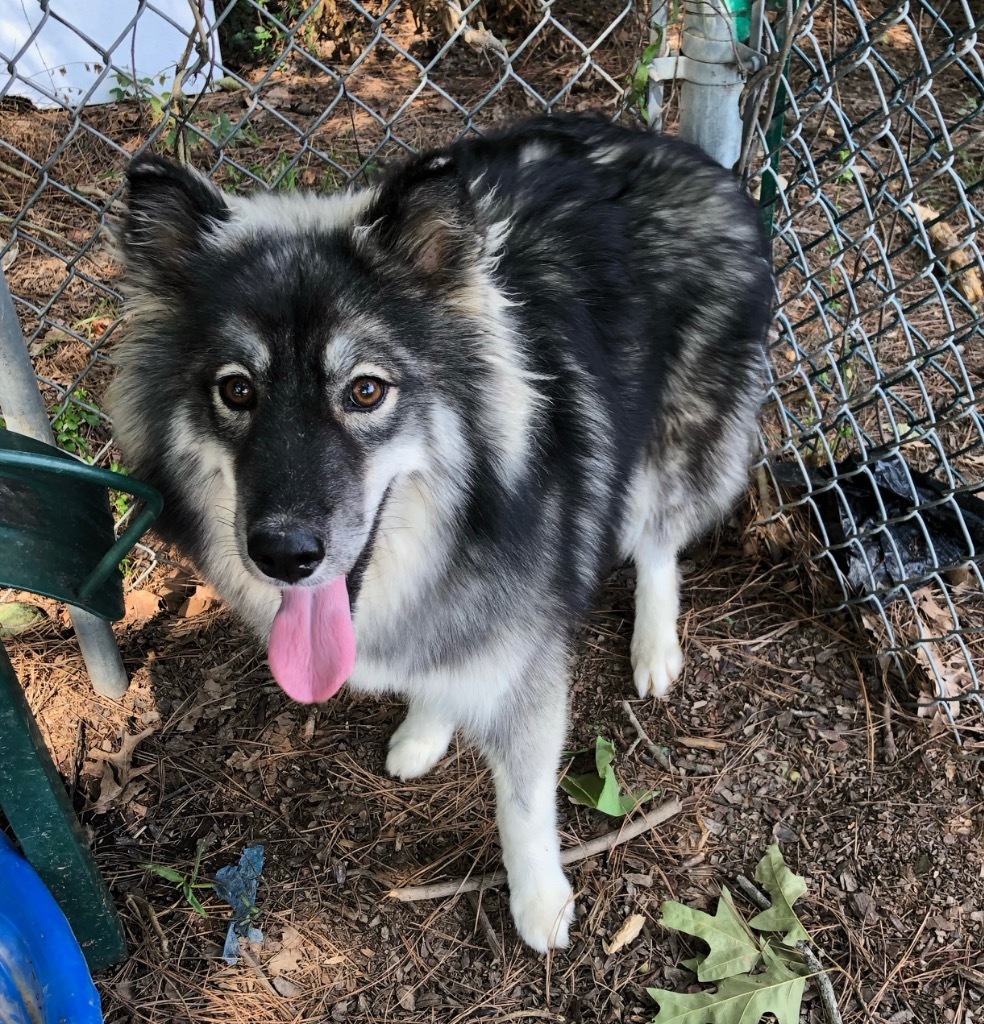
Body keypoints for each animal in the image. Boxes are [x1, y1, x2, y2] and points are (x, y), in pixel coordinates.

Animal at [107, 116, 769, 954]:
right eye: (236, 390)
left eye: (365, 390)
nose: (284, 555)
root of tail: (679, 147)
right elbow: (438, 673)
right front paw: (427, 729)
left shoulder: (527, 664)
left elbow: (524, 802)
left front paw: (539, 898)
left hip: (672, 444)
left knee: (657, 542)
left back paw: (655, 646)